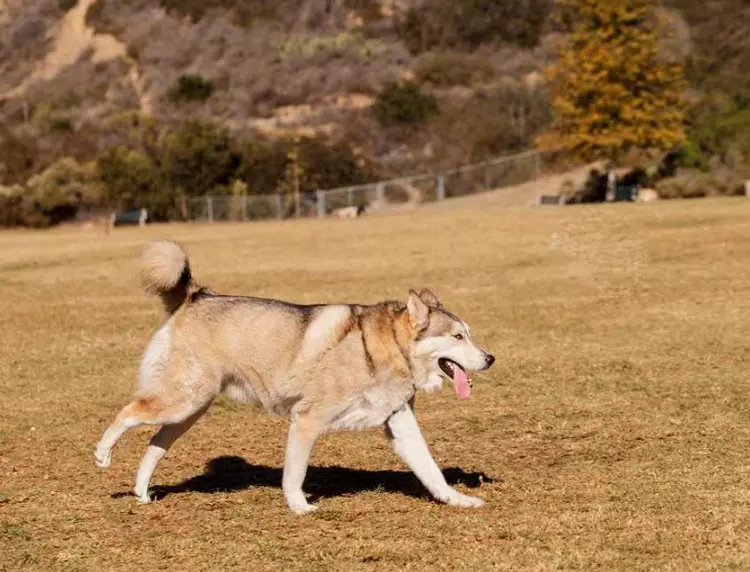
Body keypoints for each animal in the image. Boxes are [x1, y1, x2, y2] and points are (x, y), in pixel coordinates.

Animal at [94, 239, 496, 512]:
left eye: (469, 334)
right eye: (457, 337)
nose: (490, 358)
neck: (388, 348)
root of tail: (196, 296)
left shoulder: (400, 424)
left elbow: (431, 470)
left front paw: (457, 499)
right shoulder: (306, 420)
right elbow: (295, 473)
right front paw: (300, 506)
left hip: (189, 410)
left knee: (154, 445)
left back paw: (142, 492)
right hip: (182, 400)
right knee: (127, 413)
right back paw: (102, 453)